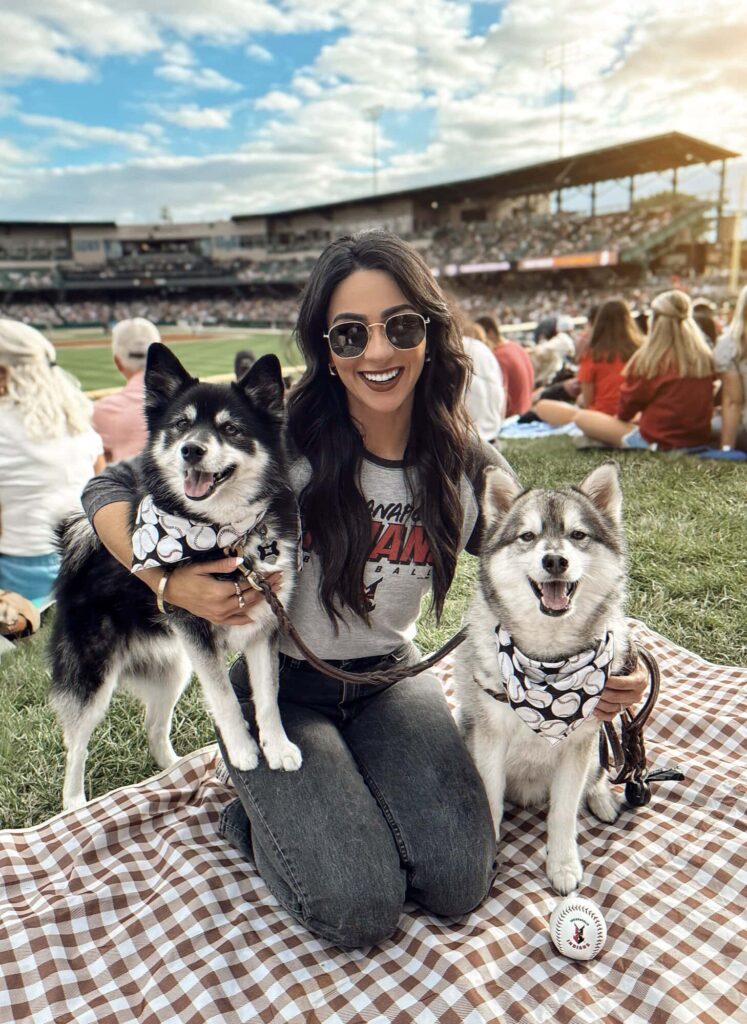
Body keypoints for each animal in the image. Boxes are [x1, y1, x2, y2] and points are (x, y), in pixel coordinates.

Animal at [49, 348, 301, 811]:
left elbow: (268, 695)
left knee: (154, 728)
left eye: (231, 429)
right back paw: (75, 804)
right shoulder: (197, 632)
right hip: (92, 677)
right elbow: (223, 695)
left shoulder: (264, 625)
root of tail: (78, 548)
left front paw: (277, 747)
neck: (226, 534)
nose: (191, 450)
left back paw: (174, 772)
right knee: (75, 745)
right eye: (181, 424)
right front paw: (243, 750)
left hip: (173, 667)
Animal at [454, 466, 631, 897]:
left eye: (578, 534)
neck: (547, 662)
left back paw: (602, 799)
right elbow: (491, 801)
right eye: (527, 536)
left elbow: (564, 812)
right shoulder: (489, 740)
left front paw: (563, 864)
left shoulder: (579, 744)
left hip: (599, 741)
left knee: (598, 773)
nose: (554, 560)